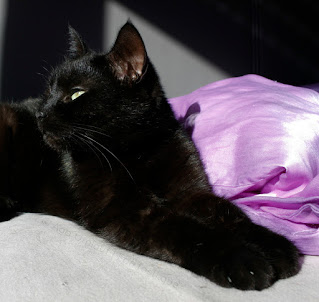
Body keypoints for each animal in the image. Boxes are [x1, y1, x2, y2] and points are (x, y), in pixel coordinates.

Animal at [2, 22, 302, 290]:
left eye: (76, 94)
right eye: (47, 92)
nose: (41, 114)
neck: (139, 152)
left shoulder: (191, 193)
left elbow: (229, 212)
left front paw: (273, 245)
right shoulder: (124, 210)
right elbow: (184, 229)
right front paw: (241, 260)